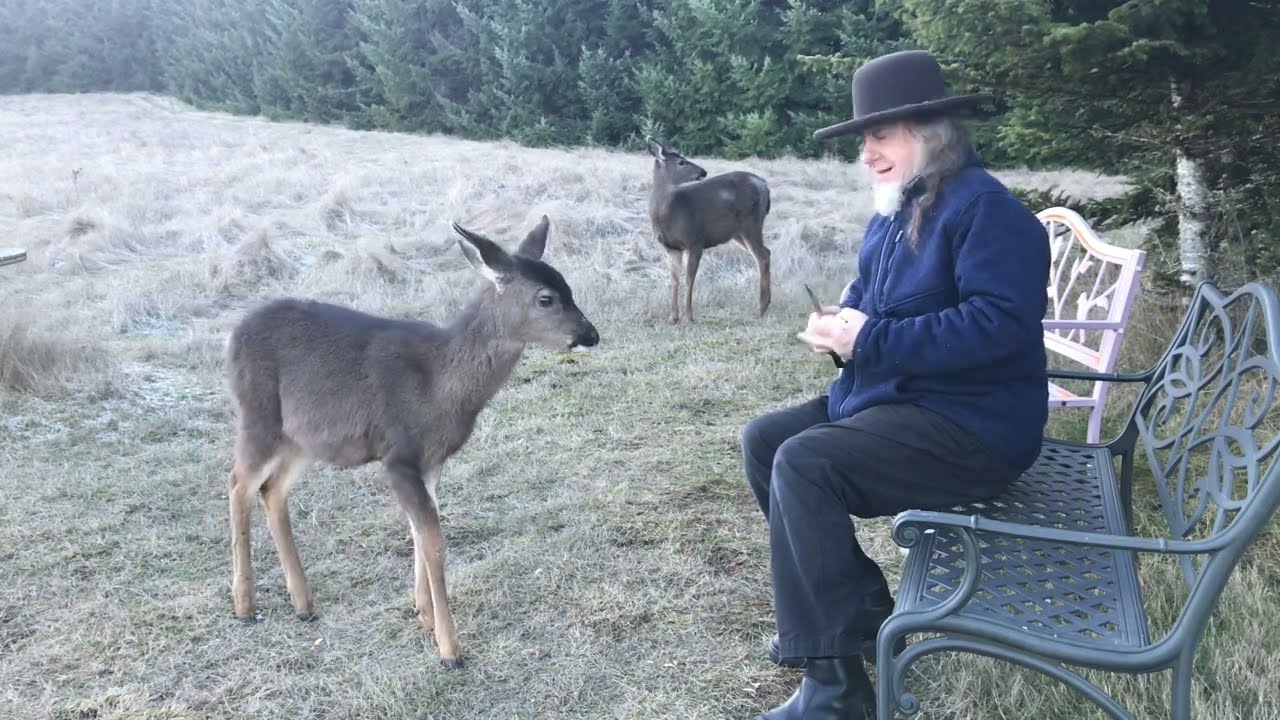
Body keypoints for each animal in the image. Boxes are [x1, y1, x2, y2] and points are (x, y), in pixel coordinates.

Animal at [224, 215, 598, 669]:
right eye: (546, 298)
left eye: (568, 286)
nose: (591, 334)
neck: (439, 385)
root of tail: (233, 336)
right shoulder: (398, 454)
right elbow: (433, 539)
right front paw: (450, 649)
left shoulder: (431, 460)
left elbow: (421, 531)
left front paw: (424, 614)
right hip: (258, 415)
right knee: (239, 483)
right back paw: (245, 606)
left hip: (300, 438)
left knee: (272, 489)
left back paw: (303, 604)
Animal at [645, 138, 772, 324]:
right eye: (681, 162)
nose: (703, 171)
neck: (669, 213)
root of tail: (765, 186)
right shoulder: (671, 248)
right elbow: (674, 280)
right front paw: (673, 317)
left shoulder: (695, 241)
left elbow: (689, 279)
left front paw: (688, 317)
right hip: (738, 232)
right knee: (766, 252)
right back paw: (765, 304)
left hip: (751, 222)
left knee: (762, 256)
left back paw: (761, 308)